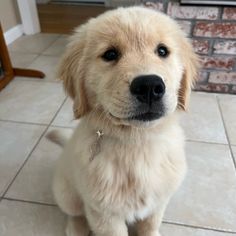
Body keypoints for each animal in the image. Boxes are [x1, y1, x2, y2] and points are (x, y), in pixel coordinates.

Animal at [52, 6, 198, 236]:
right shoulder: (104, 214)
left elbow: (150, 225)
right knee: (75, 213)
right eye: (110, 54)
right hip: (66, 192)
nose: (149, 86)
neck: (137, 143)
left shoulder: (158, 202)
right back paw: (76, 228)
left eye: (162, 51)